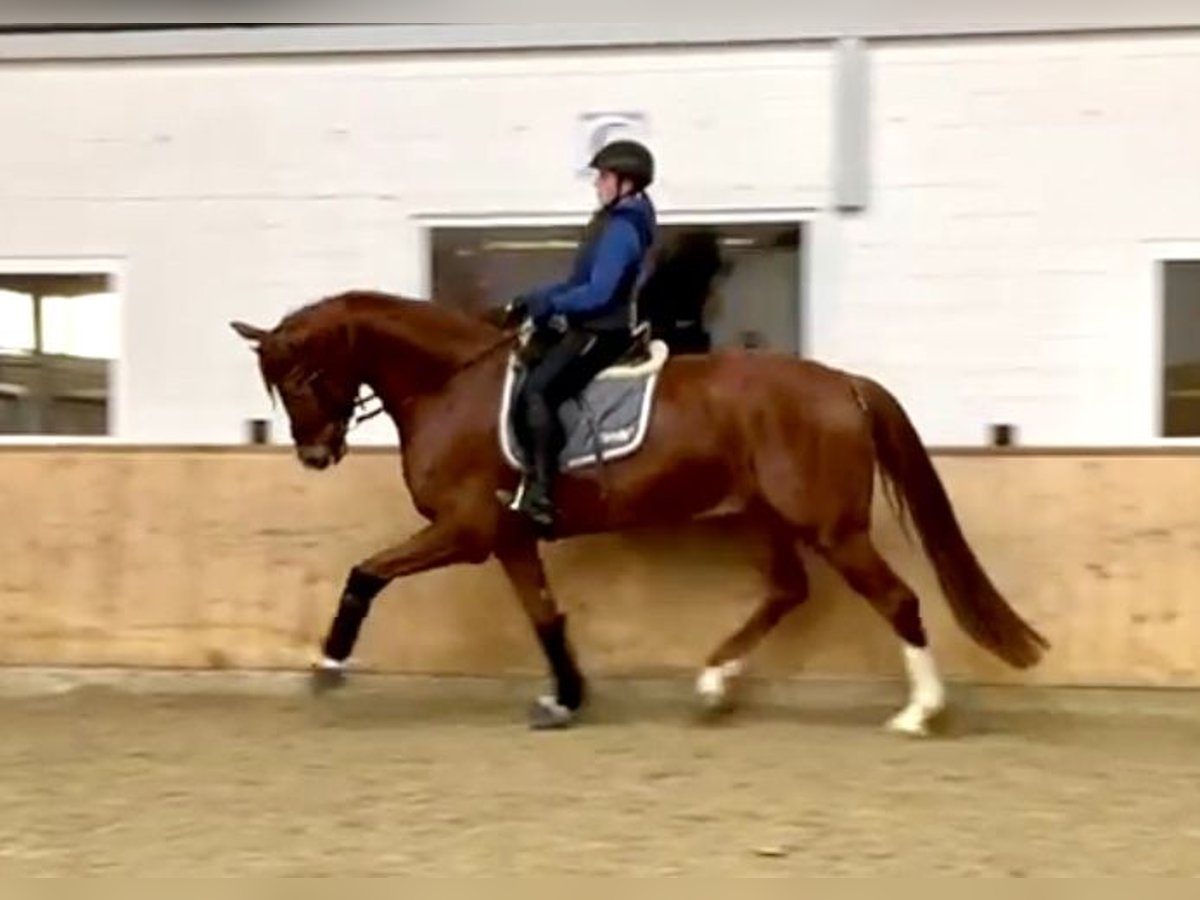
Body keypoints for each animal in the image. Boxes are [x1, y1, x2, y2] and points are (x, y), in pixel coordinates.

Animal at [230, 284, 1048, 737]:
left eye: (301, 377)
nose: (315, 455)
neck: (450, 385)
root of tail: (842, 382)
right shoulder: (509, 535)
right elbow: (545, 615)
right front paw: (566, 699)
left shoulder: (465, 530)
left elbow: (365, 573)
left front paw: (328, 663)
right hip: (769, 519)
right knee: (788, 591)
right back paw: (714, 684)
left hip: (830, 527)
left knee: (897, 599)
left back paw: (919, 714)